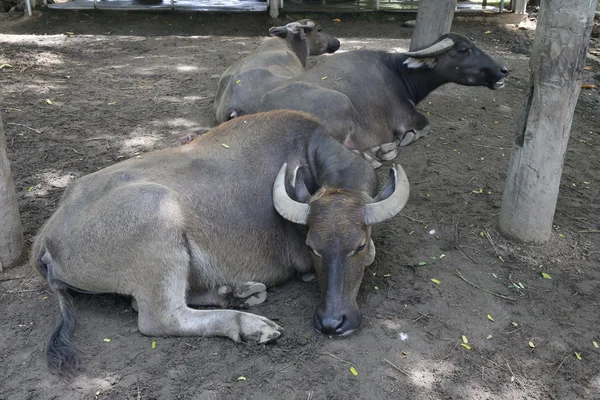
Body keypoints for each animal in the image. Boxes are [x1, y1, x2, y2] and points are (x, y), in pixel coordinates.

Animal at [32, 108, 408, 376]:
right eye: (312, 245)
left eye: (357, 244)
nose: (332, 322)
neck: (308, 155)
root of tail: (47, 237)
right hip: (157, 216)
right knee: (158, 316)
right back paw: (252, 325)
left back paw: (239, 293)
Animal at [260, 32, 508, 167]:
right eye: (464, 49)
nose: (503, 70)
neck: (398, 71)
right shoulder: (406, 116)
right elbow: (425, 125)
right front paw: (398, 142)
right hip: (339, 102)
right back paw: (378, 154)